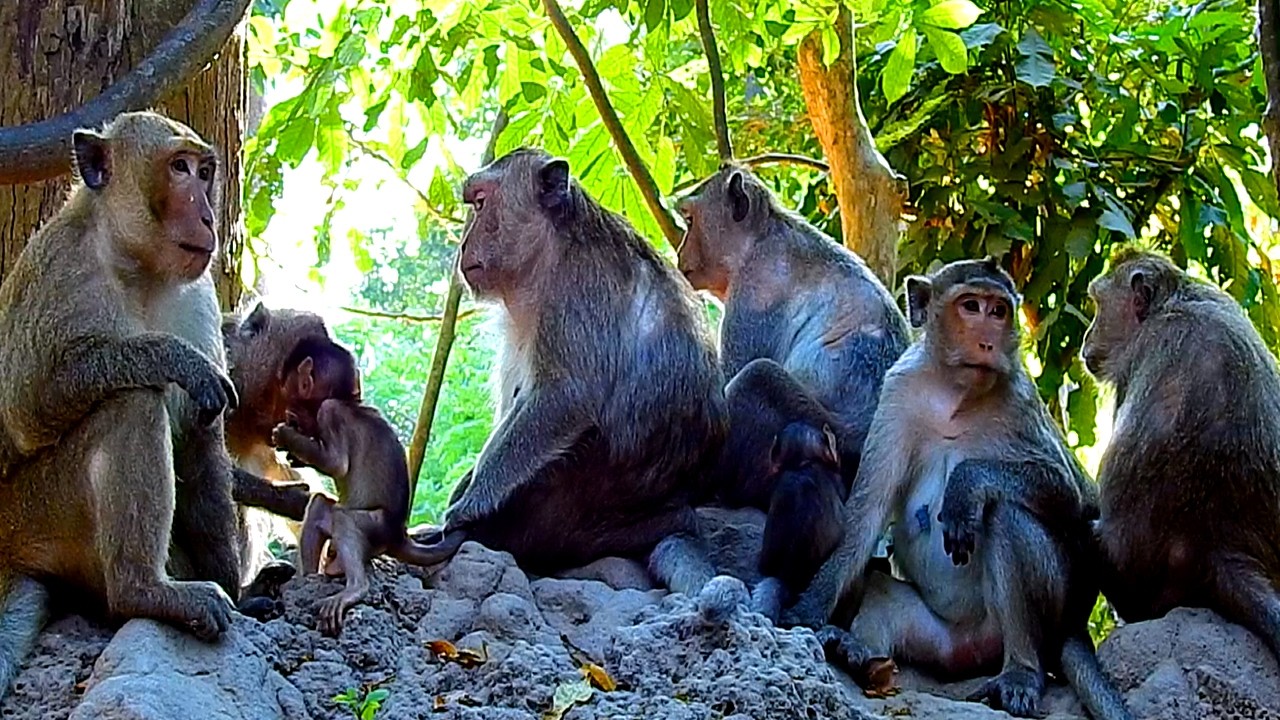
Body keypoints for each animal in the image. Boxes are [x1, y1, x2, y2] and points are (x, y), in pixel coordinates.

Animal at [0, 112, 244, 695]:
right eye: (178, 168)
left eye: (205, 171)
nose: (207, 214)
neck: (137, 269)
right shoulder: (59, 271)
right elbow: (25, 412)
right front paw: (171, 358)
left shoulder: (198, 292)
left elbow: (201, 437)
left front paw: (237, 587)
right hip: (35, 517)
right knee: (130, 401)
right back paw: (144, 590)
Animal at [269, 341, 463, 634]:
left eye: (291, 399)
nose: (289, 416)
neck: (350, 403)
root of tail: (399, 535)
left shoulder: (330, 412)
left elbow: (336, 463)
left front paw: (286, 436)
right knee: (320, 506)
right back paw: (313, 578)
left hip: (377, 528)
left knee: (344, 518)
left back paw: (354, 589)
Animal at [431, 148, 728, 604]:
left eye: (481, 204)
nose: (463, 245)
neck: (550, 251)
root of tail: (668, 511)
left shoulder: (579, 289)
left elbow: (566, 397)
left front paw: (471, 503)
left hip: (565, 502)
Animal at [785, 258, 1131, 720]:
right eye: (970, 306)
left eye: (999, 311)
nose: (987, 342)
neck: (955, 396)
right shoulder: (898, 391)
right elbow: (867, 512)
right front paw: (808, 612)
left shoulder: (1021, 399)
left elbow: (1074, 496)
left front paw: (965, 487)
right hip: (933, 637)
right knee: (880, 587)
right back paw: (857, 650)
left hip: (1034, 621)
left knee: (1008, 515)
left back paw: (1021, 673)